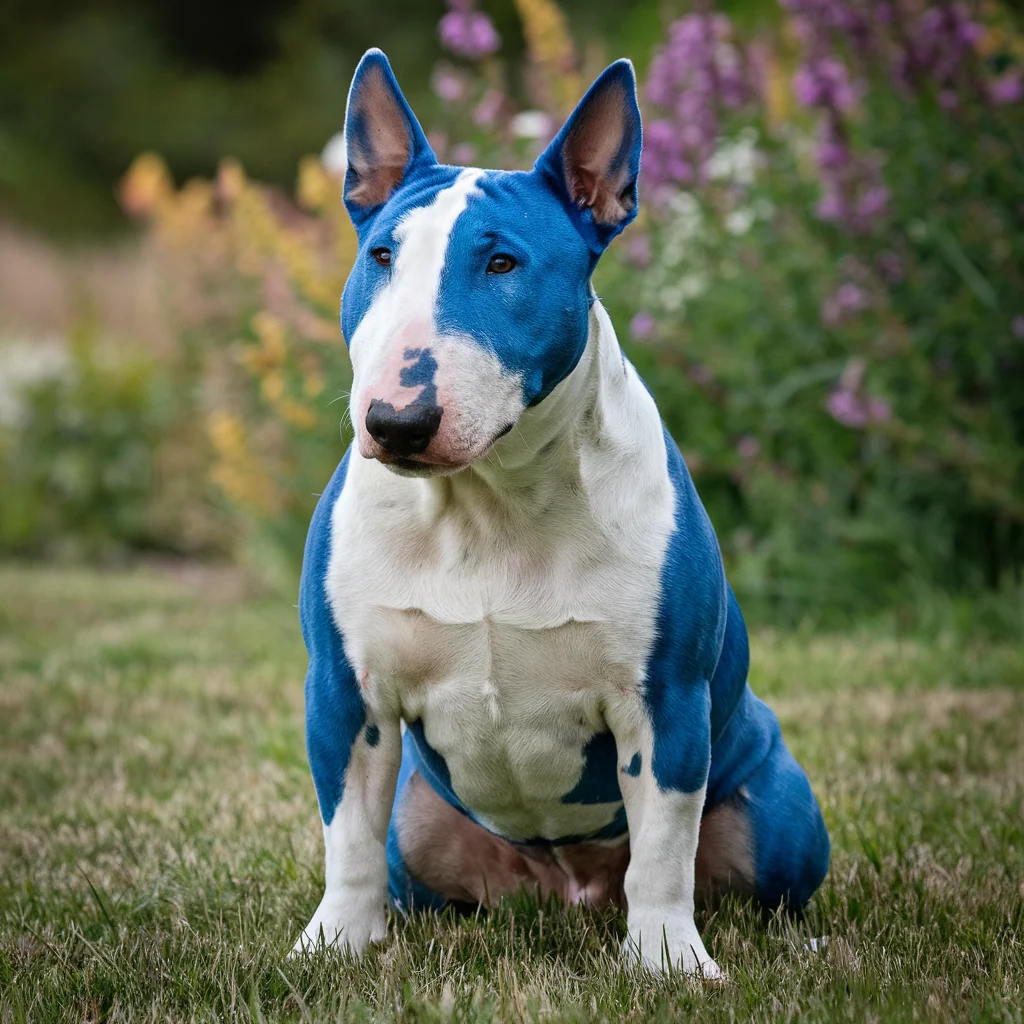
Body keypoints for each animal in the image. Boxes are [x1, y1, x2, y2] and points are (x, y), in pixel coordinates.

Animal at [290, 48, 831, 974]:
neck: (487, 503)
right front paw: (335, 944)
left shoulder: (664, 700)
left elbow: (662, 850)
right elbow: (348, 838)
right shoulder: (344, 691)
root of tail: (568, 890)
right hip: (419, 829)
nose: (395, 421)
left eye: (503, 264)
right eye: (382, 254)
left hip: (780, 815)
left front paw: (668, 961)